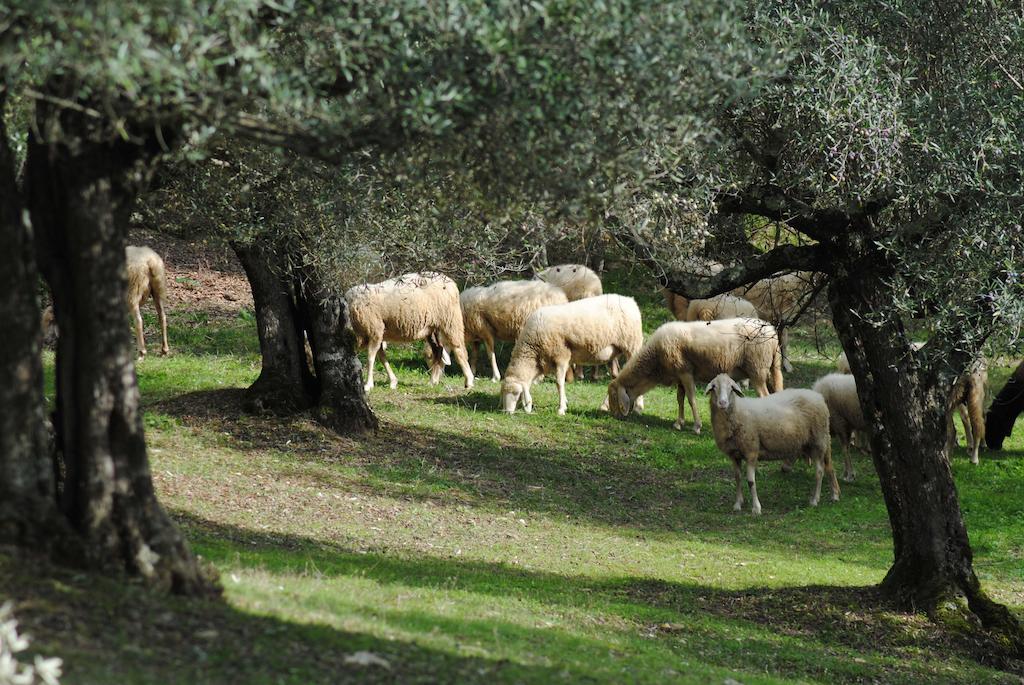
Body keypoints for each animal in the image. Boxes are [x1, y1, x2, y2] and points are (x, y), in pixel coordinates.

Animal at [501, 292, 643, 413]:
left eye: (516, 393)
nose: (507, 412)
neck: (533, 350)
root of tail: (631, 301)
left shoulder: (561, 356)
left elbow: (559, 383)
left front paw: (561, 408)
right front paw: (565, 403)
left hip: (632, 345)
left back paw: (638, 408)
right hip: (613, 352)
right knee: (615, 377)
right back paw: (605, 406)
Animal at [606, 317, 782, 432]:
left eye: (614, 396)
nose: (614, 416)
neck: (655, 362)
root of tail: (771, 330)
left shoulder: (685, 372)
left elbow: (691, 399)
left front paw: (697, 426)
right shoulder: (679, 376)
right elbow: (680, 399)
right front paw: (679, 423)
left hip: (757, 369)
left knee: (765, 396)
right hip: (767, 369)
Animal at [704, 374, 839, 511]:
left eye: (731, 388)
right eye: (713, 387)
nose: (722, 403)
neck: (737, 411)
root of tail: (818, 397)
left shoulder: (751, 451)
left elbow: (751, 481)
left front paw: (756, 508)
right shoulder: (734, 455)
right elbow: (737, 478)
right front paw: (738, 504)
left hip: (817, 441)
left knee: (819, 471)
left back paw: (815, 500)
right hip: (814, 443)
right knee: (828, 467)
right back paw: (834, 495)